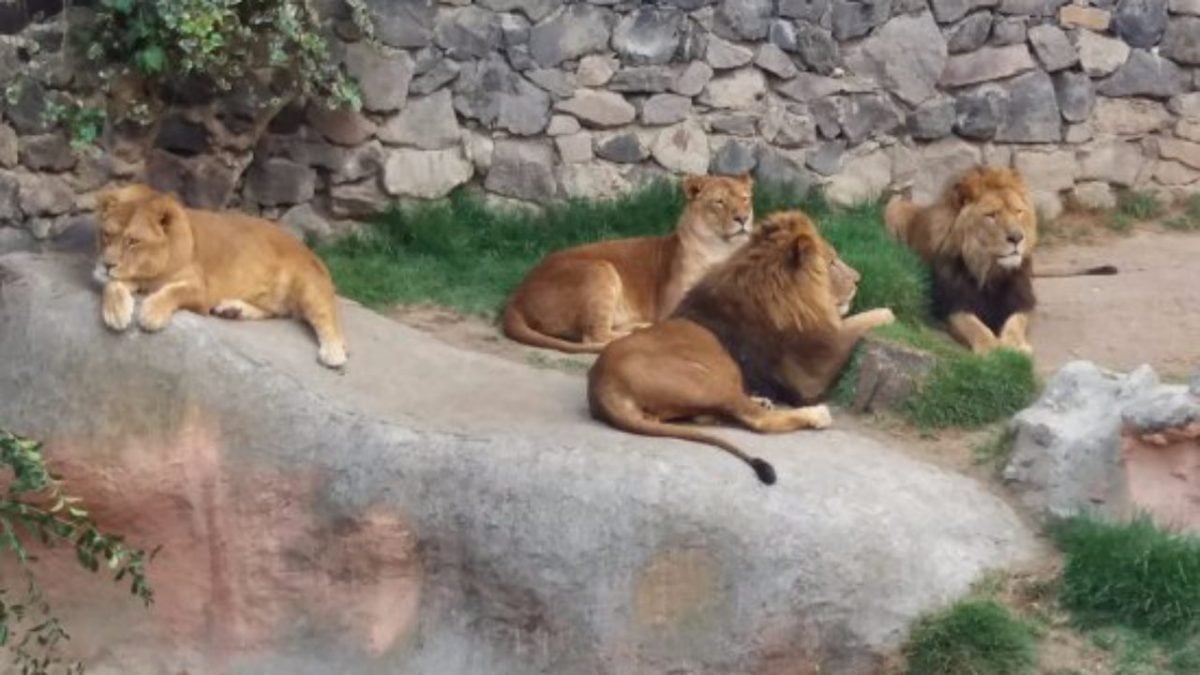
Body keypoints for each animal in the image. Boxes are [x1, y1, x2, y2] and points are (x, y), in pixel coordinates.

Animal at [91, 183, 348, 367]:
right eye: (106, 234)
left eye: (133, 241)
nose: (107, 264)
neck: (149, 269)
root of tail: (307, 248)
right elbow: (112, 285)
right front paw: (116, 312)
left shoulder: (200, 289)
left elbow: (174, 292)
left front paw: (151, 314)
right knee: (275, 311)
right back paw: (233, 310)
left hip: (309, 287)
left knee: (327, 319)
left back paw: (334, 353)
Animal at [501, 171, 753, 353]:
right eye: (719, 202)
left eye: (745, 199)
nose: (743, 218)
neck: (722, 250)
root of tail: (517, 295)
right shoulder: (672, 307)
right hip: (600, 269)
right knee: (593, 337)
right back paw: (639, 332)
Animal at [585, 210, 897, 482]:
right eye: (831, 262)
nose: (858, 279)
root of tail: (602, 388)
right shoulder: (816, 369)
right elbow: (858, 322)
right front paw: (887, 313)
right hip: (706, 380)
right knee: (758, 420)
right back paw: (814, 415)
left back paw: (758, 400)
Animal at [883, 165, 1113, 355]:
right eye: (992, 215)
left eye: (1018, 211)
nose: (1017, 238)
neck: (990, 270)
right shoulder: (951, 305)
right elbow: (974, 326)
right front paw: (991, 349)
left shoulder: (1023, 301)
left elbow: (1015, 323)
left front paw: (1013, 346)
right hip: (894, 208)